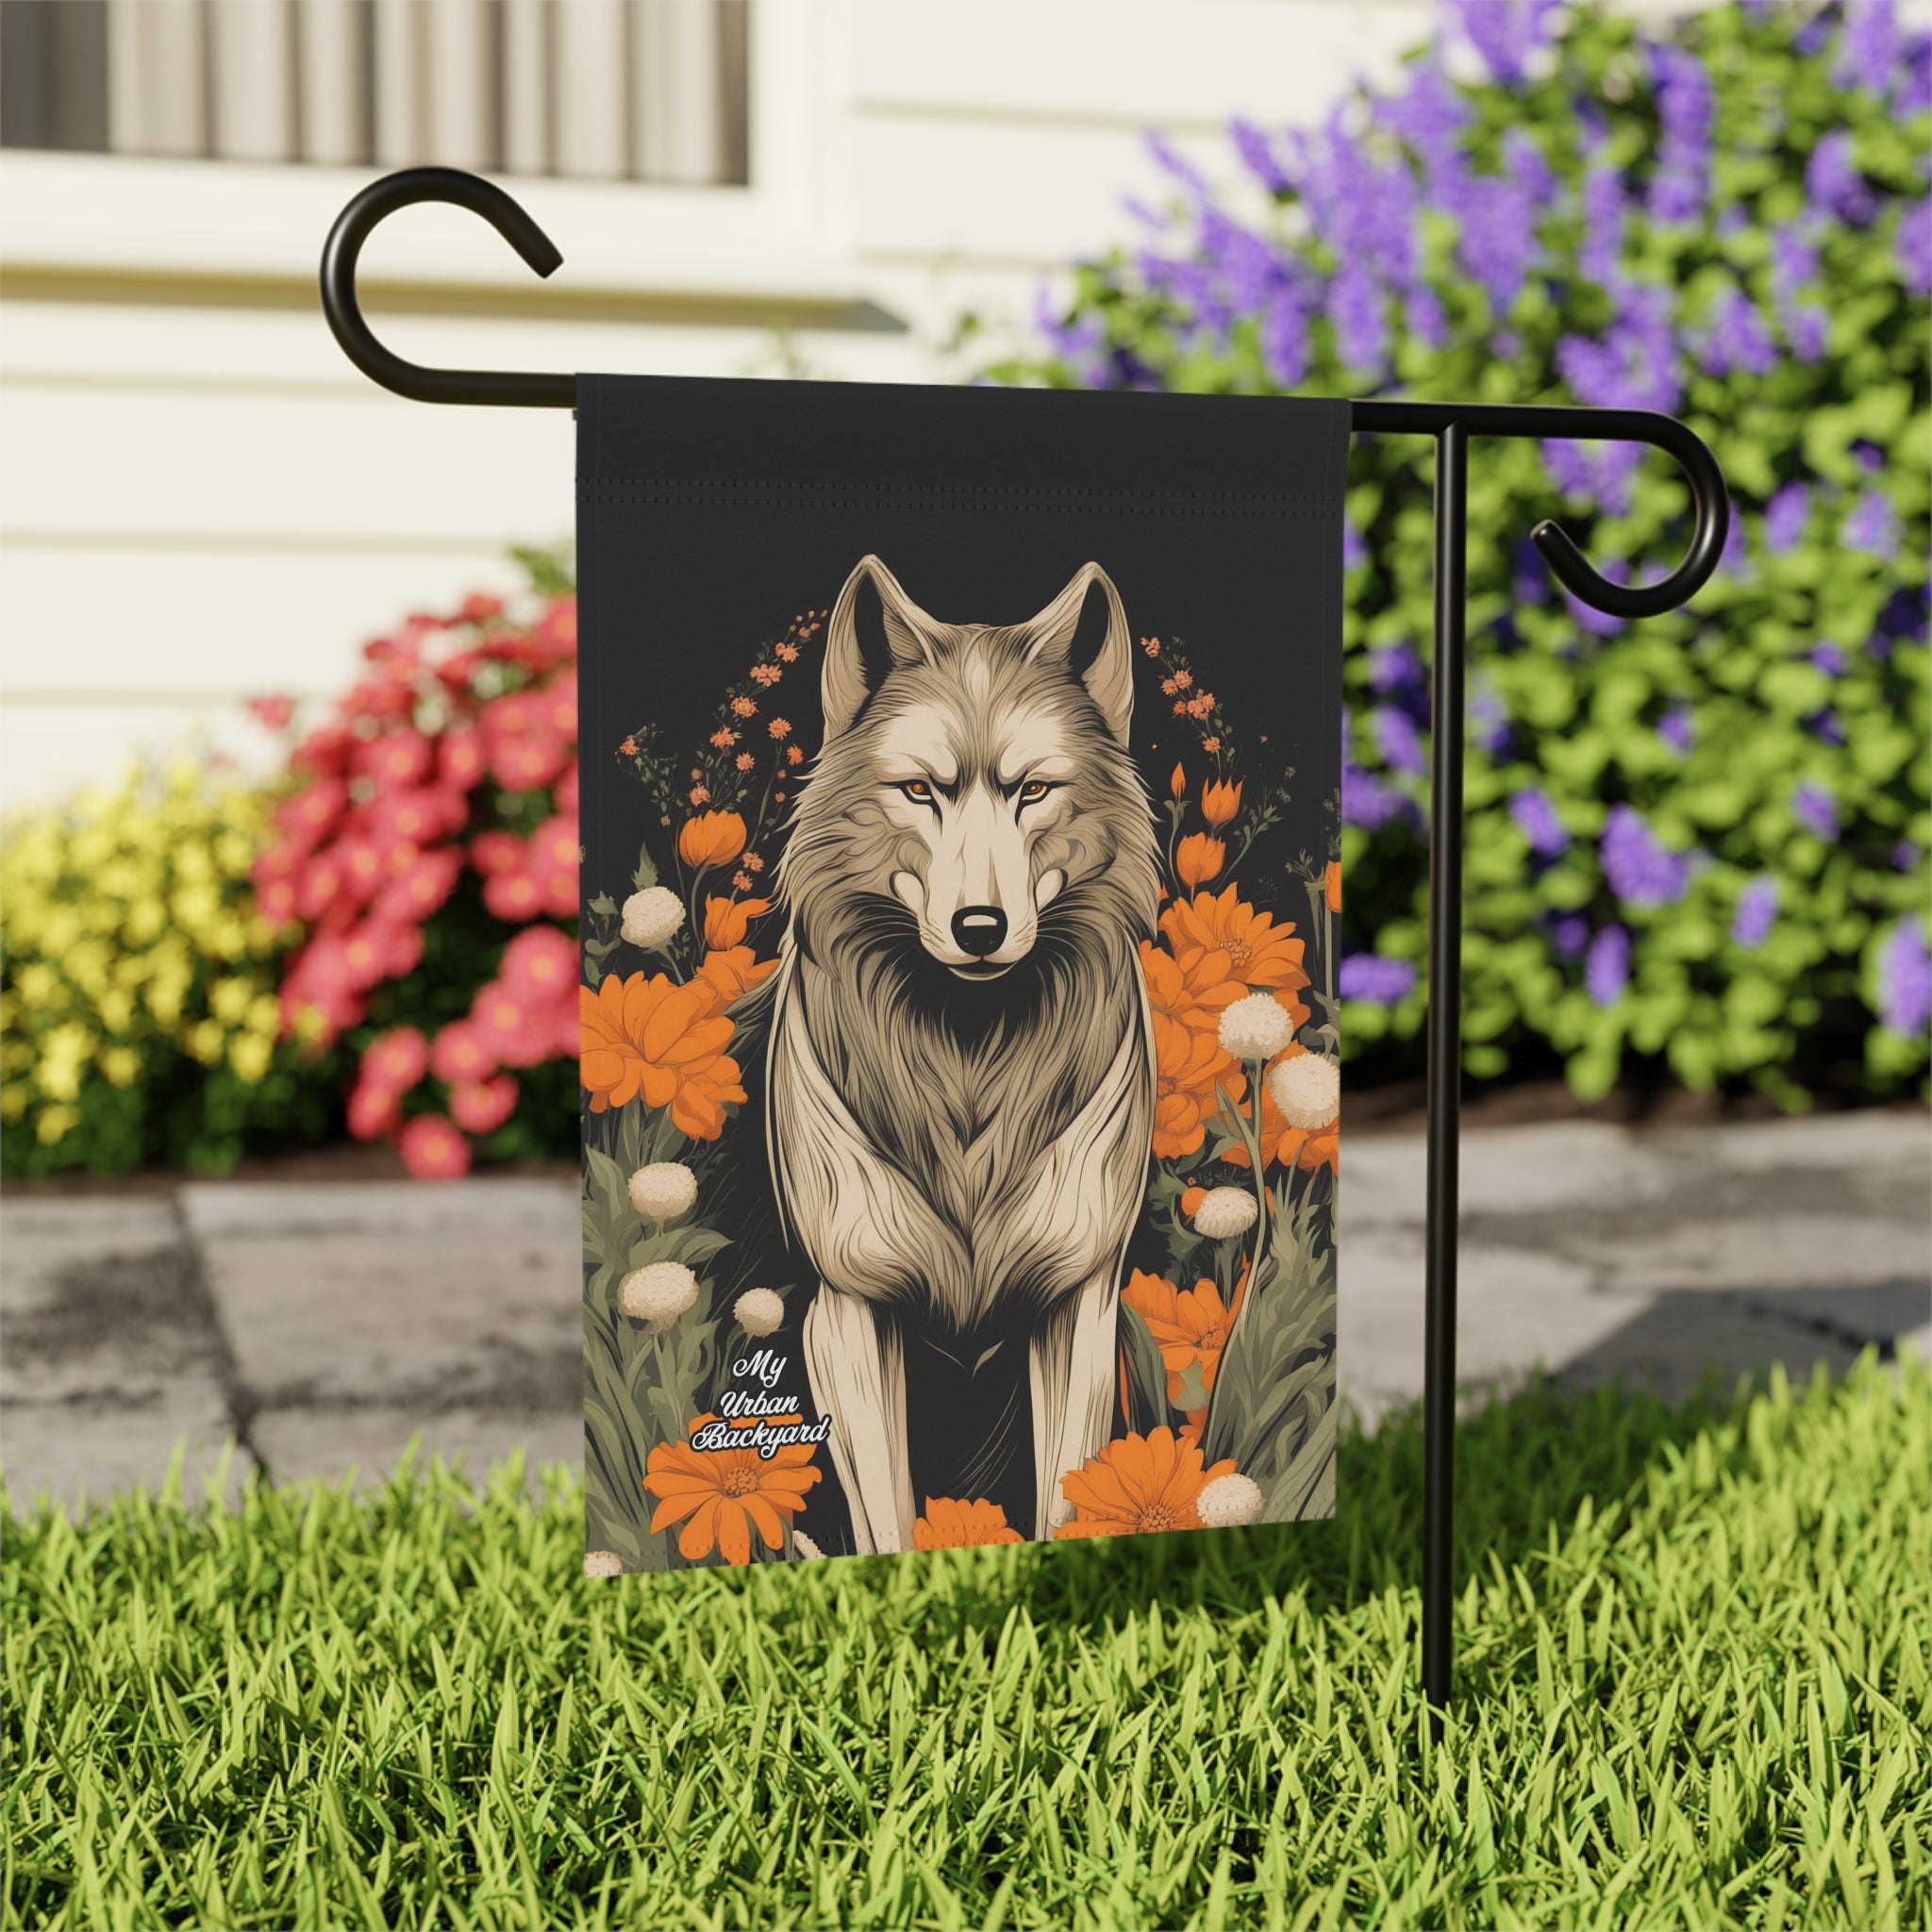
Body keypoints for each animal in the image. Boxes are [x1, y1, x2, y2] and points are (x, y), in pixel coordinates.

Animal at [766, 554, 1160, 1552]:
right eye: (922, 791)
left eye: (1033, 790)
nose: (979, 929)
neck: (970, 1056)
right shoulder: (848, 1312)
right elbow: (888, 1526)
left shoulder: (1079, 1304)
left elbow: (1065, 1500)